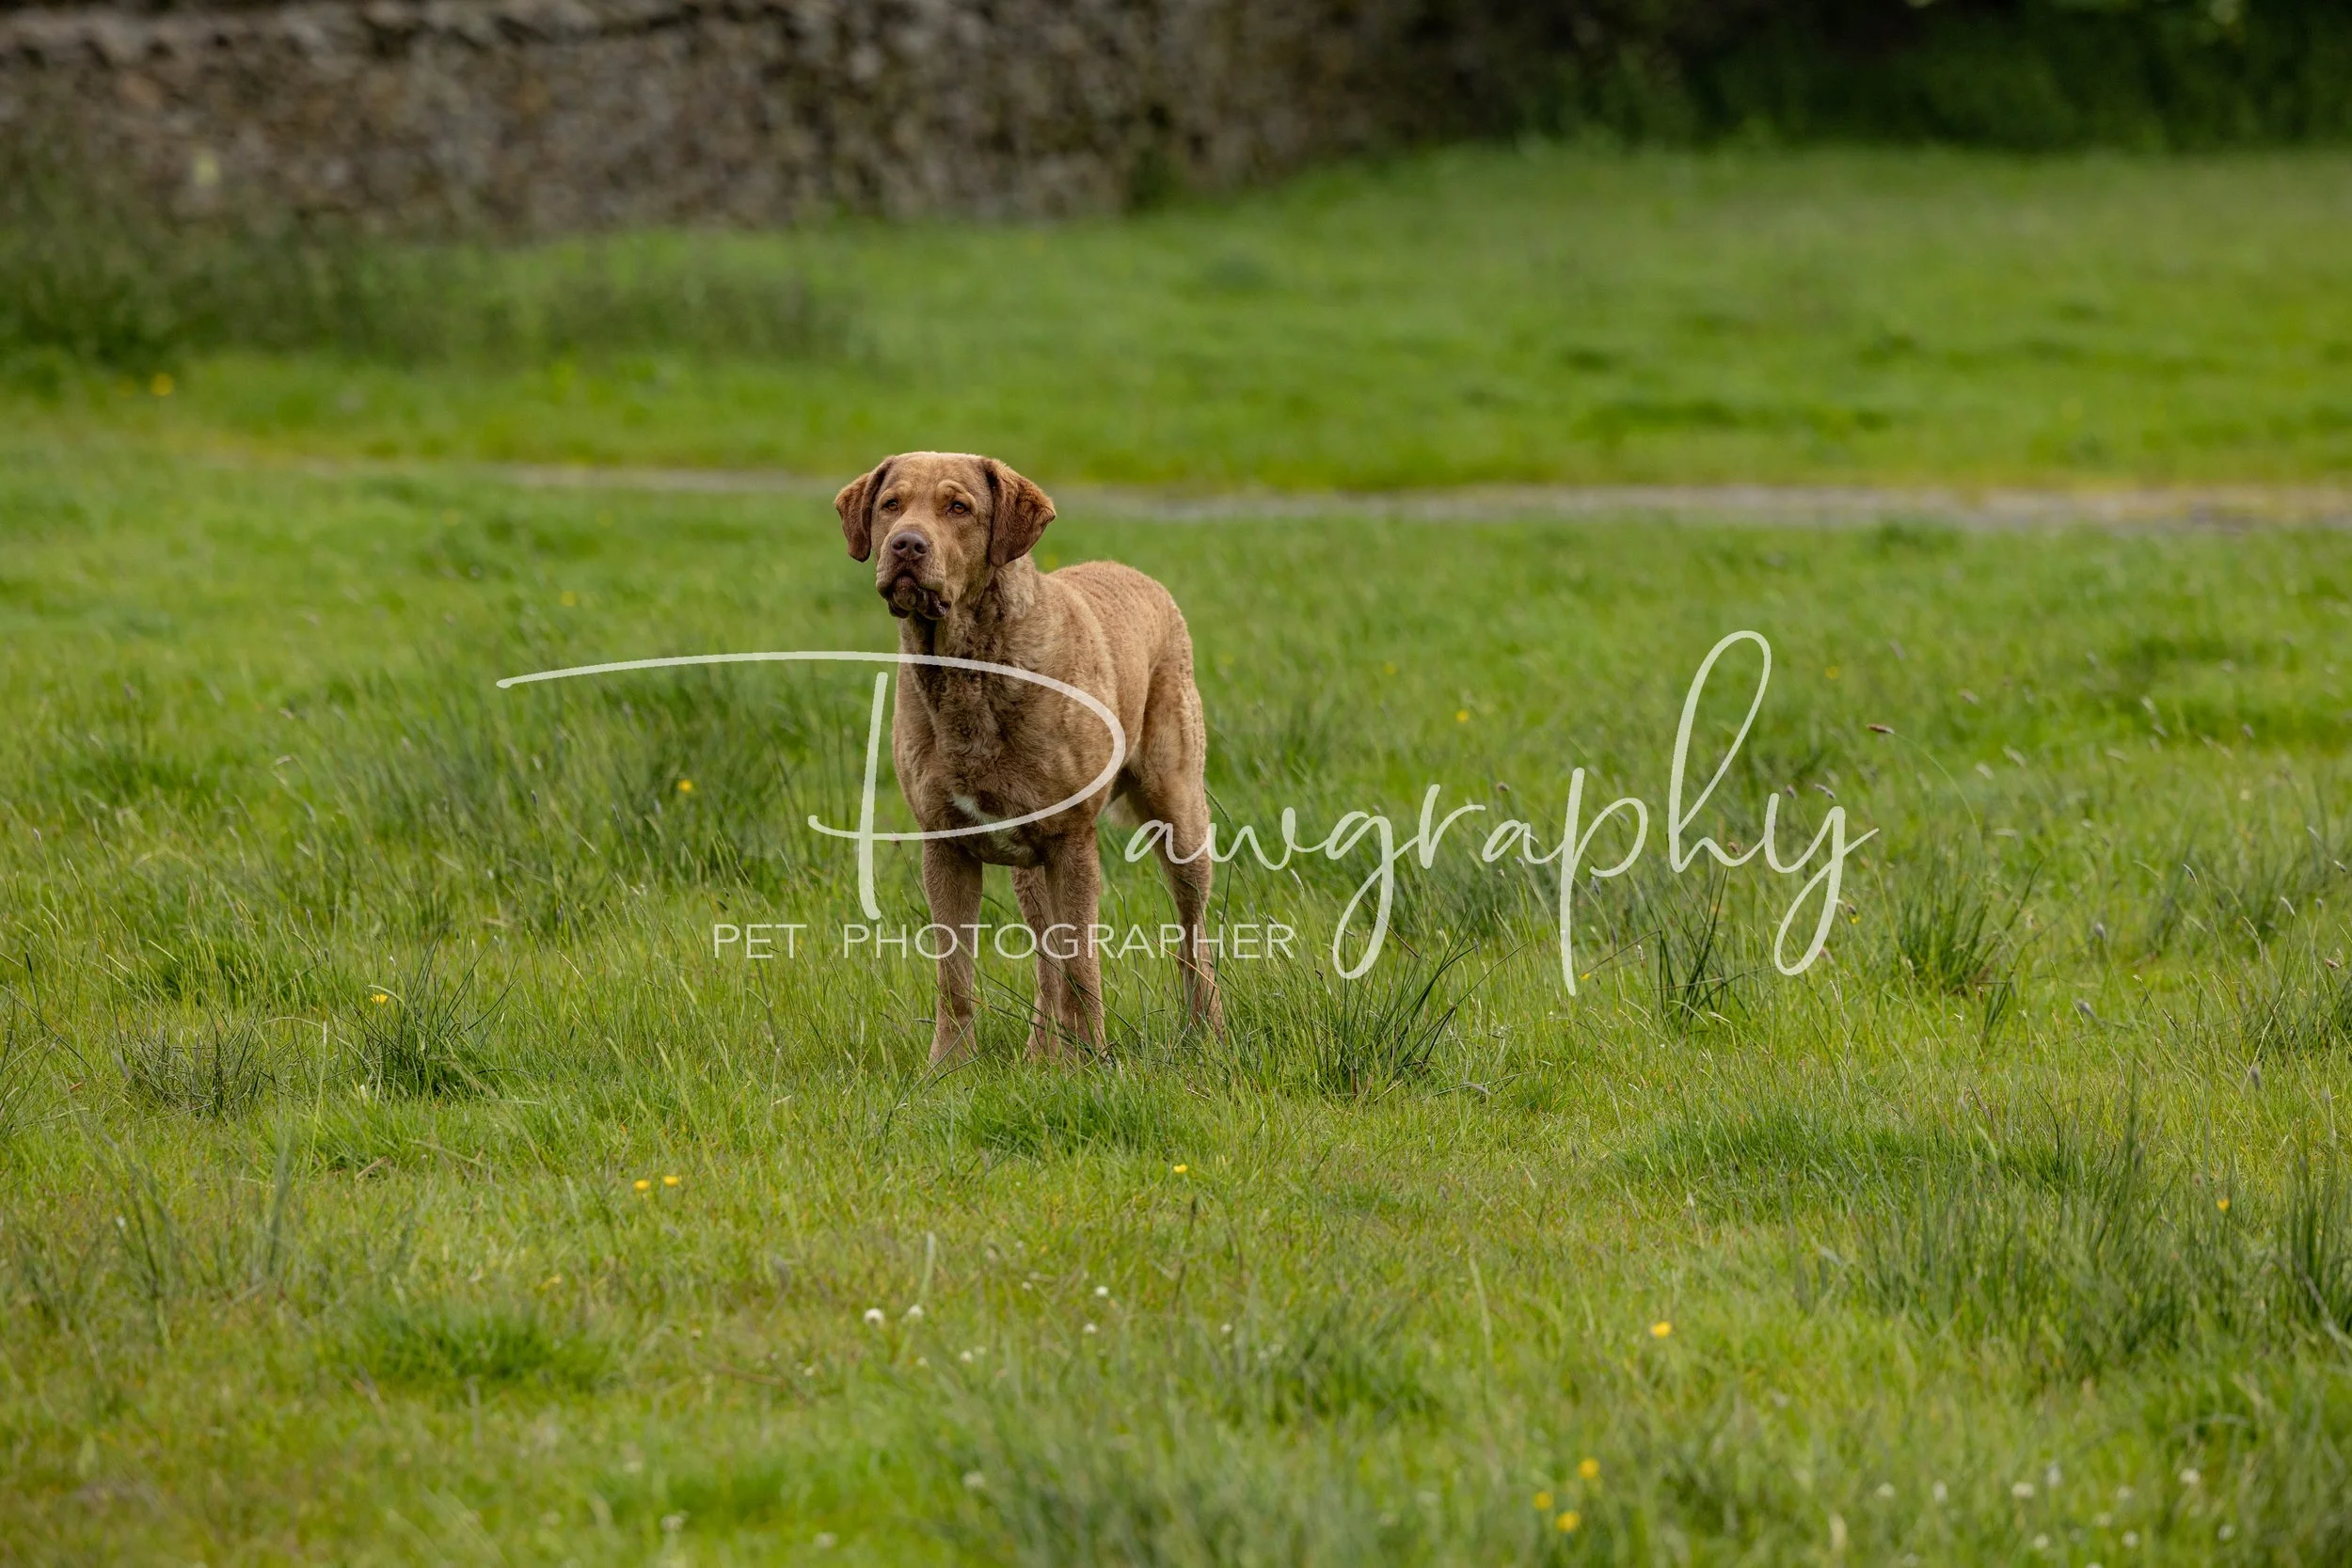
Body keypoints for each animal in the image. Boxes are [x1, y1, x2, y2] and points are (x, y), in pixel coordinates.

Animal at [834, 451, 1222, 1064]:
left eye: (958, 507)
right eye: (890, 505)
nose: (906, 545)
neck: (968, 671)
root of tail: (1141, 577)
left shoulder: (1071, 840)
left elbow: (1084, 965)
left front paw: (1091, 1064)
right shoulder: (945, 844)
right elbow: (954, 974)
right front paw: (948, 1068)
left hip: (1179, 810)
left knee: (1192, 933)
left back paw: (1205, 1033)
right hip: (1029, 868)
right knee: (1046, 960)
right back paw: (1042, 1054)